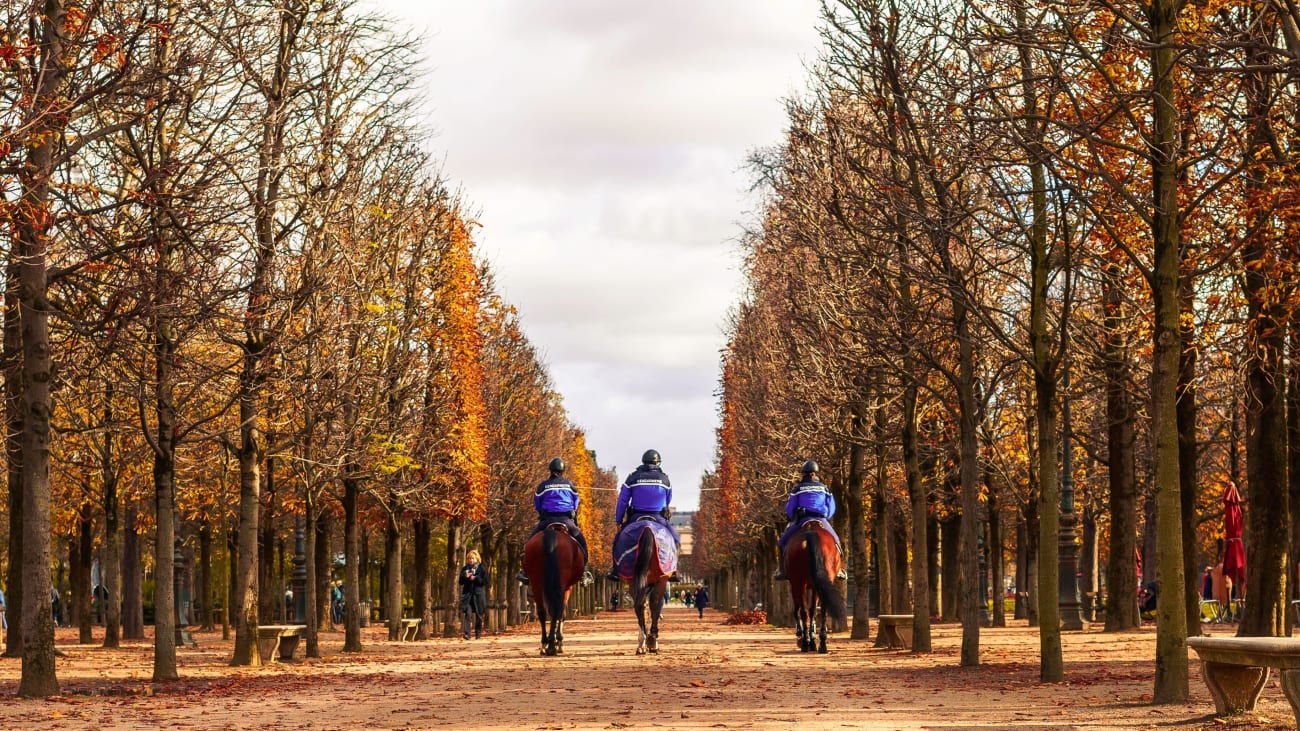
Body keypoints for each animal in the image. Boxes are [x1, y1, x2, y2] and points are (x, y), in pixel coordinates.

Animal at [522, 522, 585, 655]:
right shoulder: (568, 587)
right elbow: (562, 613)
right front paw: (559, 641)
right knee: (557, 609)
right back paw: (552, 645)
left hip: (536, 582)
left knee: (542, 612)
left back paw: (544, 644)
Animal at [785, 515, 847, 650]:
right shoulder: (813, 586)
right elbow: (812, 609)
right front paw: (811, 638)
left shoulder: (795, 584)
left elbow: (800, 609)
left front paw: (803, 636)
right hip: (822, 580)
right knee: (822, 609)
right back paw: (822, 643)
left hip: (800, 582)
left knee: (804, 610)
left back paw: (805, 642)